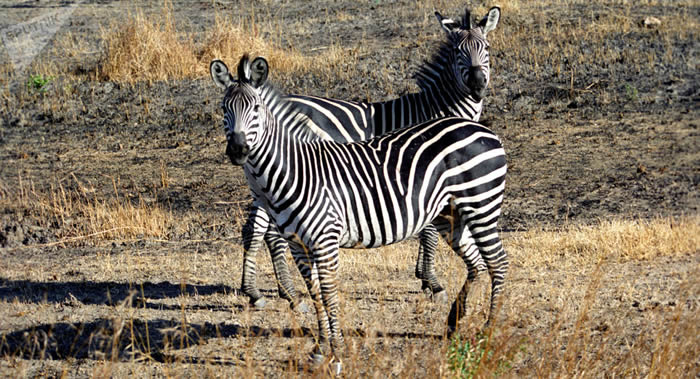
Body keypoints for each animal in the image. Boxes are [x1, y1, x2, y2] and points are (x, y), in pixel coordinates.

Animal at [208, 55, 508, 372]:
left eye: (255, 108)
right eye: (224, 109)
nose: (238, 150)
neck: (295, 170)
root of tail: (479, 128)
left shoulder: (326, 240)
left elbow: (329, 293)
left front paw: (337, 354)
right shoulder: (298, 245)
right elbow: (315, 292)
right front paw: (320, 350)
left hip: (481, 205)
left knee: (497, 262)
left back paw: (488, 329)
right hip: (450, 215)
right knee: (477, 263)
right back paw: (453, 322)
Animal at [238, 5, 500, 310]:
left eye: (487, 48)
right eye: (459, 51)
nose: (478, 85)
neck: (436, 108)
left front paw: (423, 276)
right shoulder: (425, 172)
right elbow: (429, 231)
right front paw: (431, 282)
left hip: (267, 184)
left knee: (257, 229)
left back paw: (261, 291)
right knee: (265, 231)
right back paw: (275, 293)